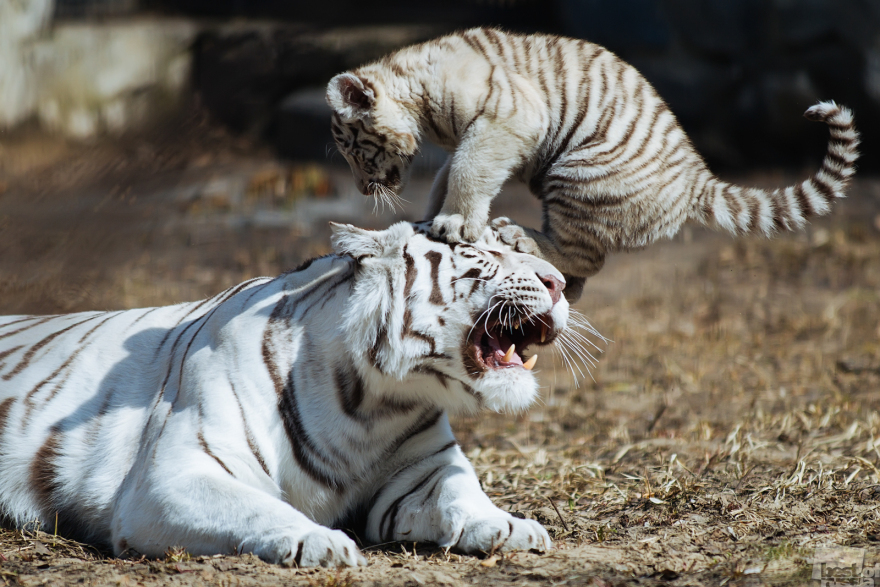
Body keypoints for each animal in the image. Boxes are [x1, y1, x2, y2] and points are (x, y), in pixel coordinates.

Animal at [0, 223, 572, 568]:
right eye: (479, 254)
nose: (560, 282)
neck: (373, 403)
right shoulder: (172, 476)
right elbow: (256, 507)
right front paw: (320, 541)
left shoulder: (424, 470)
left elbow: (462, 494)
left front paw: (509, 525)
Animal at [324, 27, 860, 304]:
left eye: (354, 149)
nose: (362, 189)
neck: (415, 90)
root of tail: (698, 180)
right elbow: (448, 174)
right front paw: (433, 218)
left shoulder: (507, 116)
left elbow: (468, 170)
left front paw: (453, 223)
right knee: (580, 271)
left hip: (575, 174)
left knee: (587, 257)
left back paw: (522, 238)